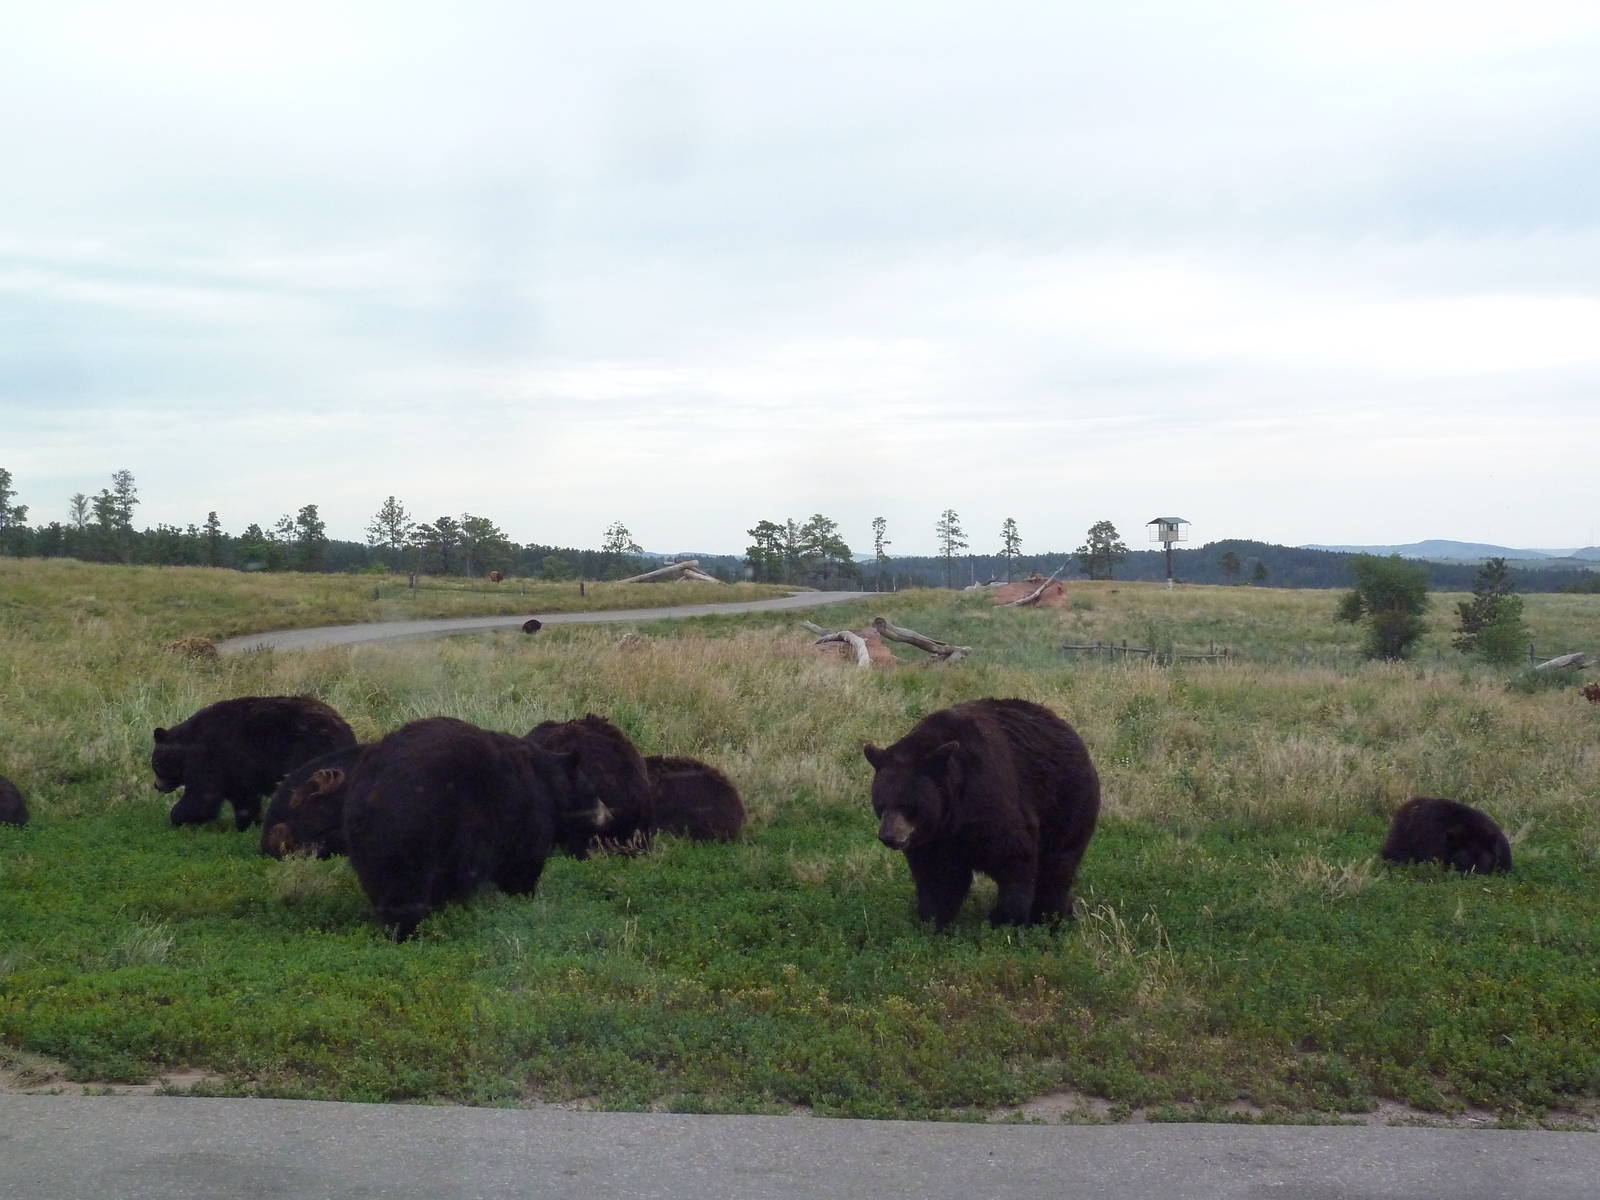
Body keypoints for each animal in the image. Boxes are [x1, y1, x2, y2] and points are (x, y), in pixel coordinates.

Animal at [152, 695, 357, 831]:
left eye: (155, 765)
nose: (157, 786)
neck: (187, 746)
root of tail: (345, 729)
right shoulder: (236, 769)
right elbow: (244, 798)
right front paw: (247, 824)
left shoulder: (211, 756)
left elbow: (203, 795)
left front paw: (177, 817)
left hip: (307, 751)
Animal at [341, 716, 581, 940]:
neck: (548, 780)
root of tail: (372, 789)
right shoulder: (527, 816)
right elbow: (523, 864)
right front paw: (522, 898)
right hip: (415, 830)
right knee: (406, 887)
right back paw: (407, 930)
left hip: (364, 839)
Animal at [863, 697, 1100, 931]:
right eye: (881, 803)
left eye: (908, 805)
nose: (889, 836)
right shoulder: (936, 839)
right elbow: (937, 878)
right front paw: (933, 921)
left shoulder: (992, 802)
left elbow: (1016, 859)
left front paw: (1004, 920)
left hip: (1067, 803)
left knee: (1056, 866)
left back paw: (1051, 917)